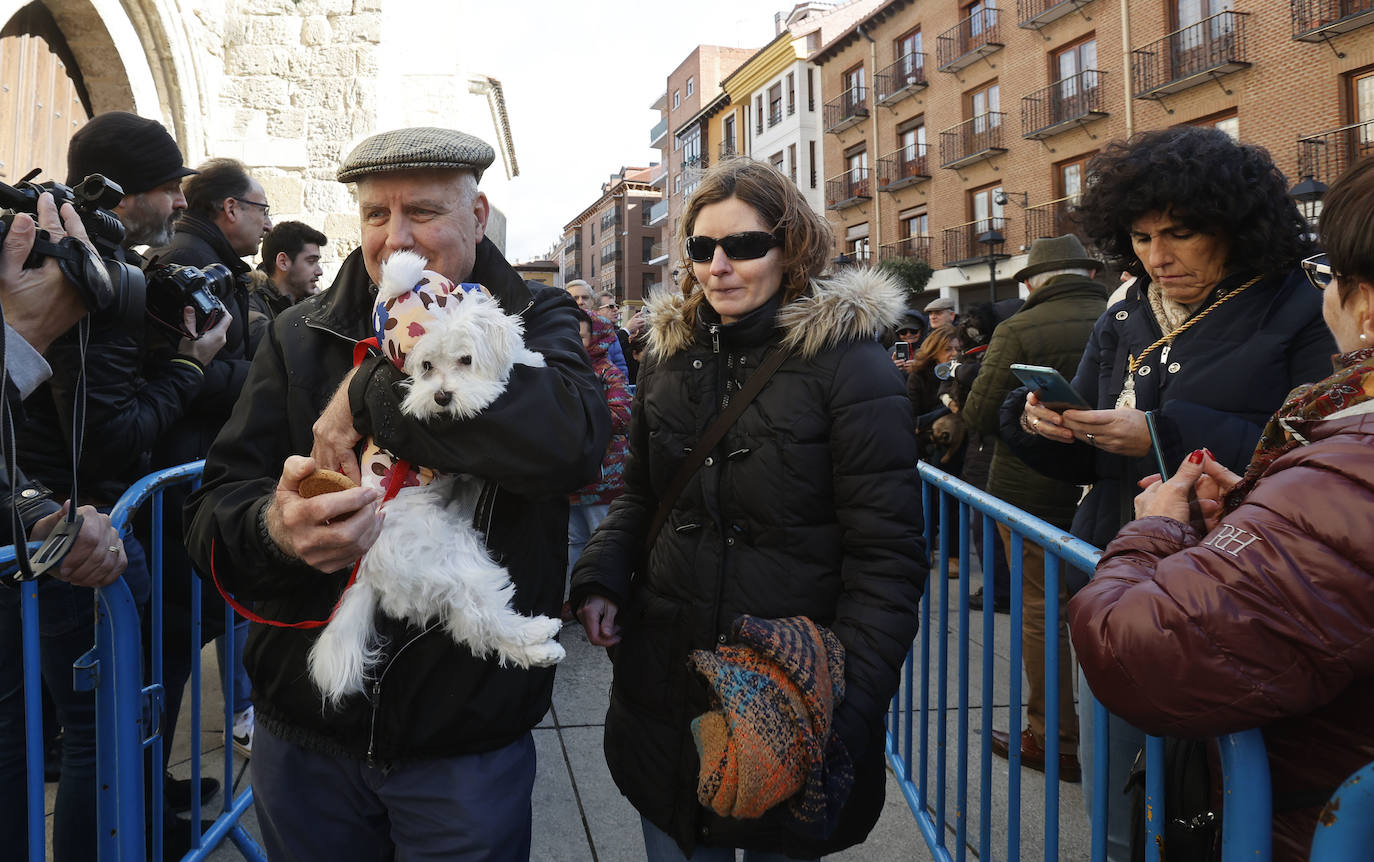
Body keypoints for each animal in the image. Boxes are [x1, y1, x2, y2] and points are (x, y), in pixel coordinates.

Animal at [309, 251, 566, 709]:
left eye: (465, 360)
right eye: (425, 366)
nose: (442, 397)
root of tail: (369, 569)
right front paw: (529, 359)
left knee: (470, 626)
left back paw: (539, 647)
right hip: (452, 556)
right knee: (482, 617)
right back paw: (540, 634)